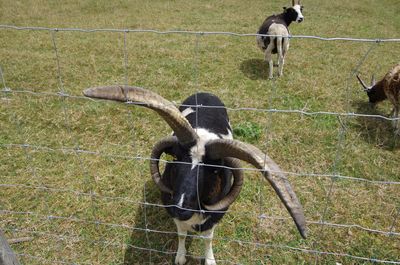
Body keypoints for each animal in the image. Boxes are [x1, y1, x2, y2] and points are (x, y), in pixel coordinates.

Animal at [82, 85, 306, 262]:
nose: (181, 208)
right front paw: (180, 258)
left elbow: (208, 239)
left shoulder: (214, 216)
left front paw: (210, 260)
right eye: (176, 160)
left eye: (213, 171)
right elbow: (181, 234)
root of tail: (204, 92)